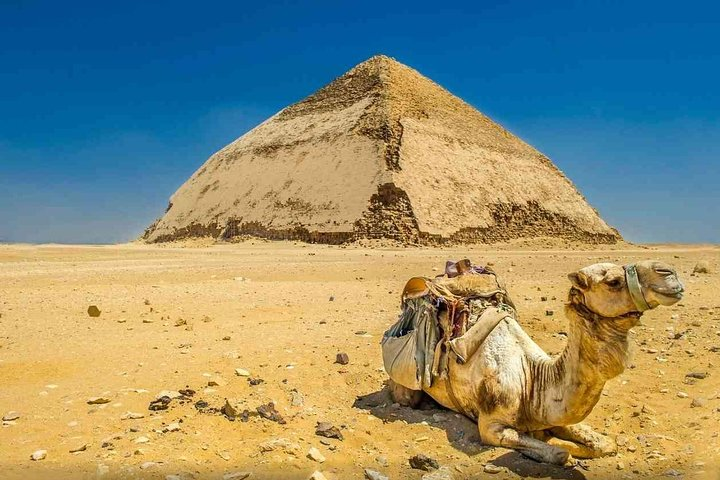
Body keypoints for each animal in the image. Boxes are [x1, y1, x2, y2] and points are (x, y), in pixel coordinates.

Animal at [388, 260, 688, 464]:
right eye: (613, 281)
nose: (669, 273)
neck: (532, 378)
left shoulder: (548, 412)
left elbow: (604, 444)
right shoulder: (491, 427)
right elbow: (558, 455)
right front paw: (559, 446)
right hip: (406, 387)